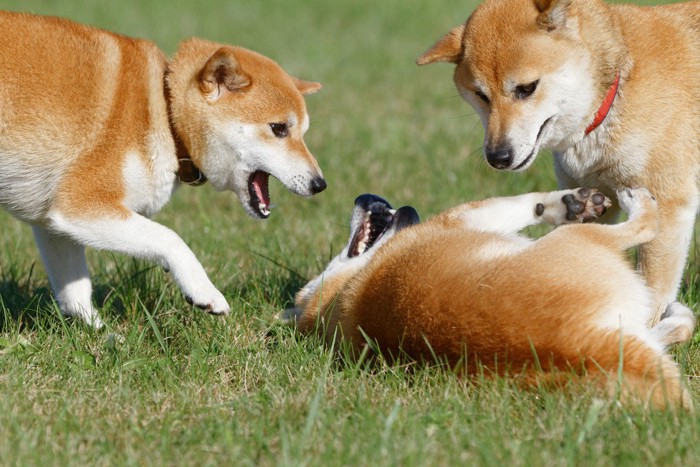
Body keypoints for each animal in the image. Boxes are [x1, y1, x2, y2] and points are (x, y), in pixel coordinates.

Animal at [0, 9, 326, 328]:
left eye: (303, 132)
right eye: (279, 128)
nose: (320, 184)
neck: (164, 113)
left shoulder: (51, 221)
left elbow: (75, 296)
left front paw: (104, 337)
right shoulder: (80, 204)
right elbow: (171, 238)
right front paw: (204, 291)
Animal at [284, 189, 696, 410]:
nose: (364, 196)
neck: (341, 295)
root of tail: (571, 344)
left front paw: (567, 204)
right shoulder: (460, 218)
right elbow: (518, 204)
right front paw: (559, 204)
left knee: (676, 330)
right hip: (581, 243)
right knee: (646, 227)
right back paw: (640, 204)